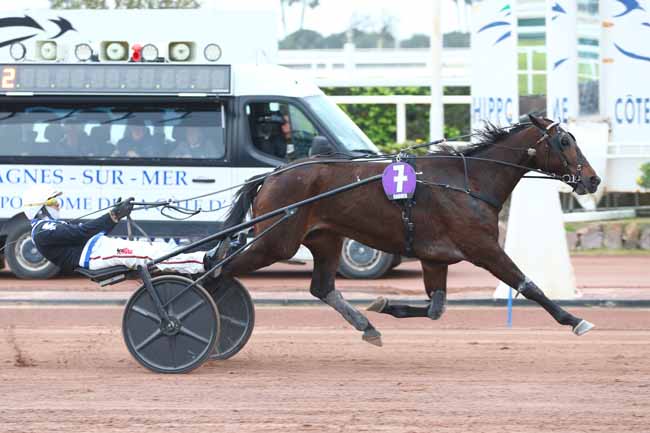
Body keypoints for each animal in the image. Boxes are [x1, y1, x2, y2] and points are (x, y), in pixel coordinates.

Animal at [220, 115, 600, 344]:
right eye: (565, 142)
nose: (593, 179)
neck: (469, 180)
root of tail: (272, 174)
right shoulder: (483, 248)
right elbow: (527, 284)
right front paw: (573, 319)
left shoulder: (435, 257)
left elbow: (436, 308)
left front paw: (384, 304)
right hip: (275, 242)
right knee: (218, 269)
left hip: (325, 238)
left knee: (322, 287)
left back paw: (367, 326)